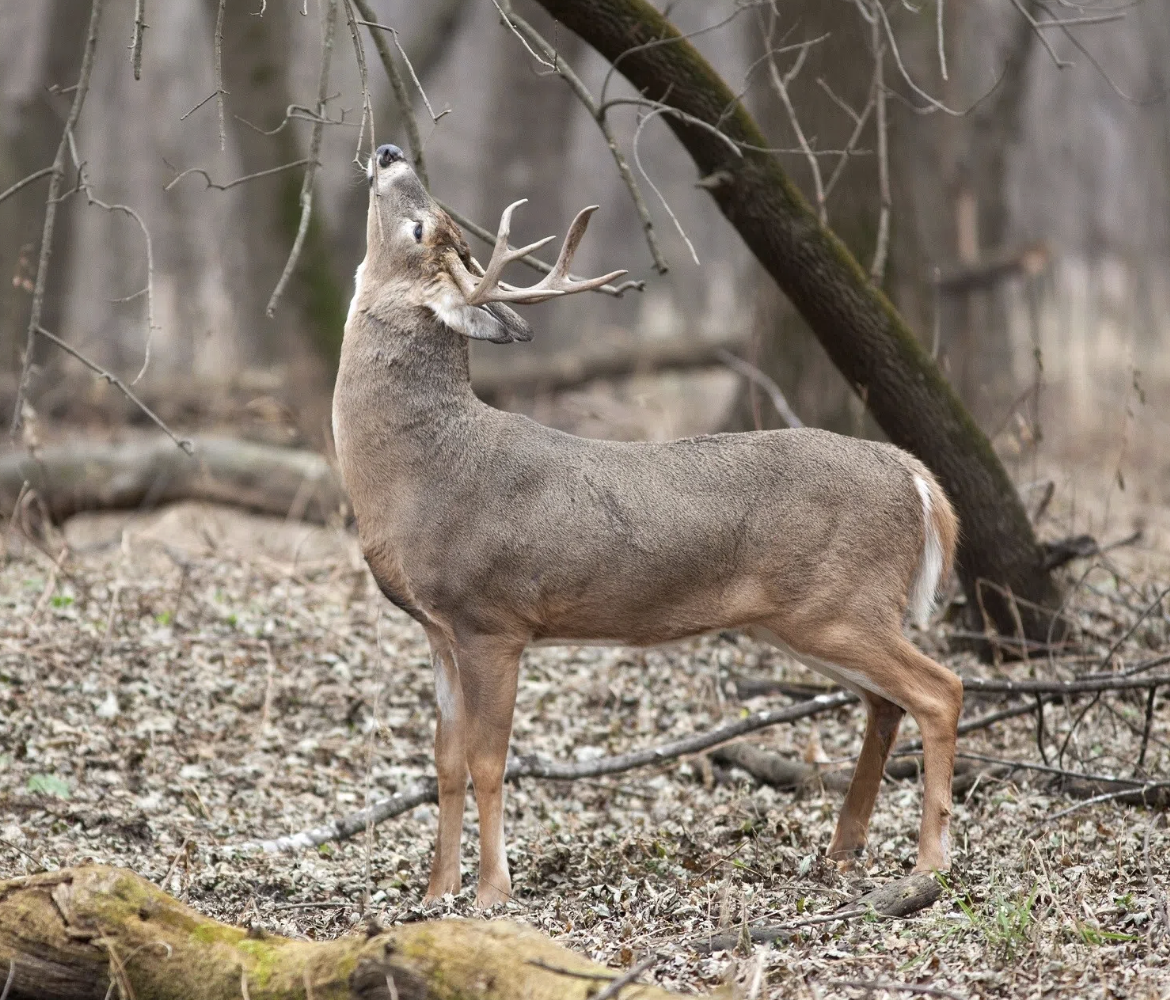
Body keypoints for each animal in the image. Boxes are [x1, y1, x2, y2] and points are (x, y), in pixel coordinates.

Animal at [333, 143, 963, 908]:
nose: (389, 151)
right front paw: (434, 895)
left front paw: (490, 894)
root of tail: (916, 477)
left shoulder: (493, 619)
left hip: (841, 603)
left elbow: (488, 759)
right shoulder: (438, 628)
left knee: (940, 690)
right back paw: (844, 848)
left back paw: (929, 862)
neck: (420, 472)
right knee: (885, 703)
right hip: (810, 618)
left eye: (420, 227)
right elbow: (445, 761)